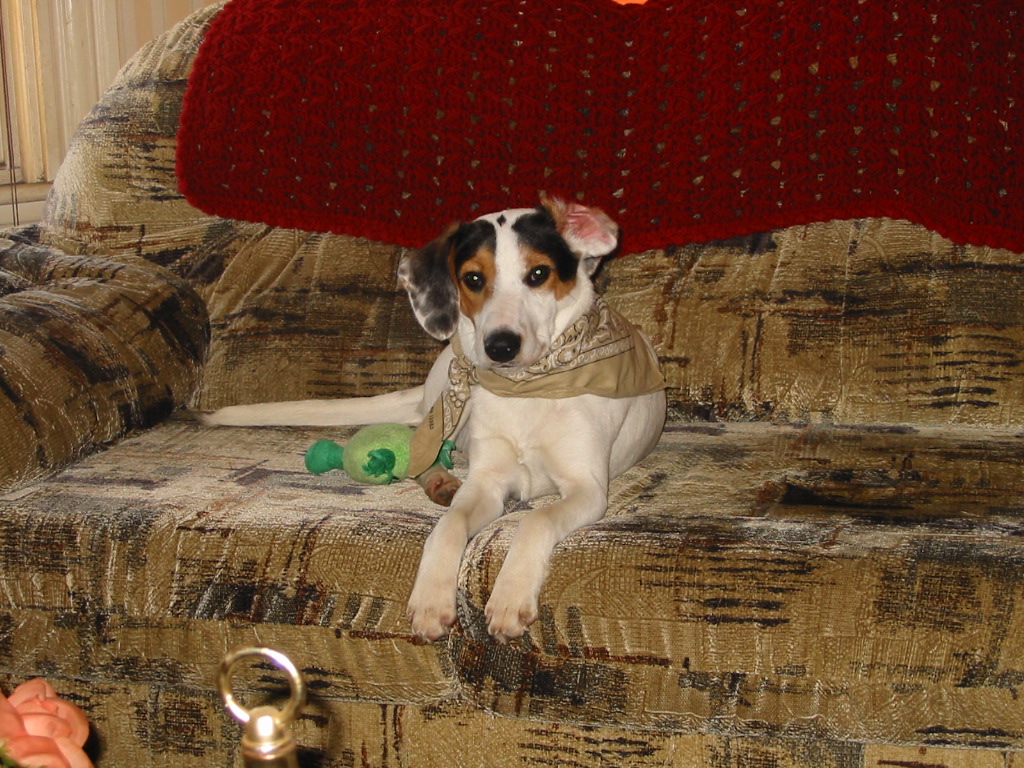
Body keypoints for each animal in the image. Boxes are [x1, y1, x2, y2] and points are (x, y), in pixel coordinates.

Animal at [204, 194, 667, 643]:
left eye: (539, 273)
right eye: (474, 279)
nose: (499, 346)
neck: (526, 390)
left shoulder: (587, 489)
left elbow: (535, 519)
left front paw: (510, 594)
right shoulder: (488, 482)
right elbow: (448, 526)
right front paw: (430, 597)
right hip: (448, 398)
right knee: (418, 452)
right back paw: (440, 481)